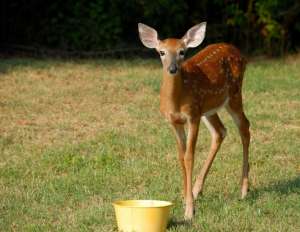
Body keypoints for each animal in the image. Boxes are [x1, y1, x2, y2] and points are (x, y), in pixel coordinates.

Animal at [138, 22, 251, 220]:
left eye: (182, 51)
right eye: (161, 52)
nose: (173, 69)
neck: (176, 101)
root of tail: (236, 50)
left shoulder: (192, 116)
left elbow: (189, 156)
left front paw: (189, 211)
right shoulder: (174, 122)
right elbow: (181, 156)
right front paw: (185, 198)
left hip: (233, 94)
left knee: (245, 127)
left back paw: (244, 190)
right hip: (209, 108)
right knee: (220, 131)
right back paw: (198, 190)